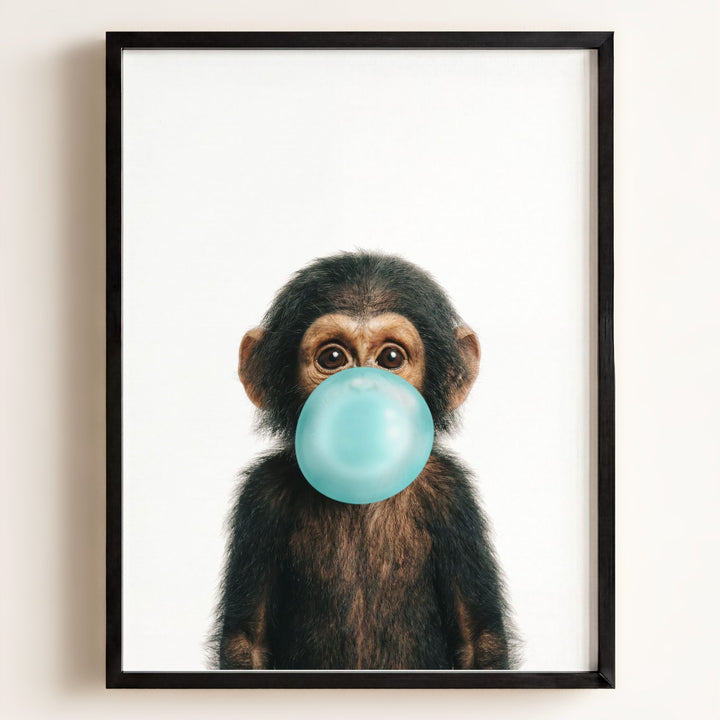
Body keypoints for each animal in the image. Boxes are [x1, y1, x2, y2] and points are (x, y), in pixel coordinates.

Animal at [212, 251, 518, 670]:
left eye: (390, 357)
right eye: (332, 357)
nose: (362, 389)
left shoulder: (452, 494)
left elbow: (479, 639)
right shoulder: (261, 495)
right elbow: (247, 640)